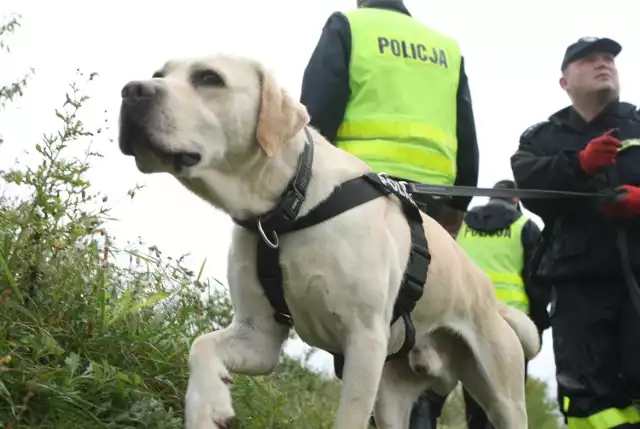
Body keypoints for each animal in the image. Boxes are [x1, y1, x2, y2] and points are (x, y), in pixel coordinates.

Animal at [116, 53, 540, 428]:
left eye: (209, 78)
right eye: (159, 74)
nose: (131, 90)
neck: (288, 208)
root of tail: (494, 304)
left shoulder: (364, 341)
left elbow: (348, 419)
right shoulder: (258, 337)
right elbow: (200, 345)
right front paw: (208, 408)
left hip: (501, 394)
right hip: (392, 396)